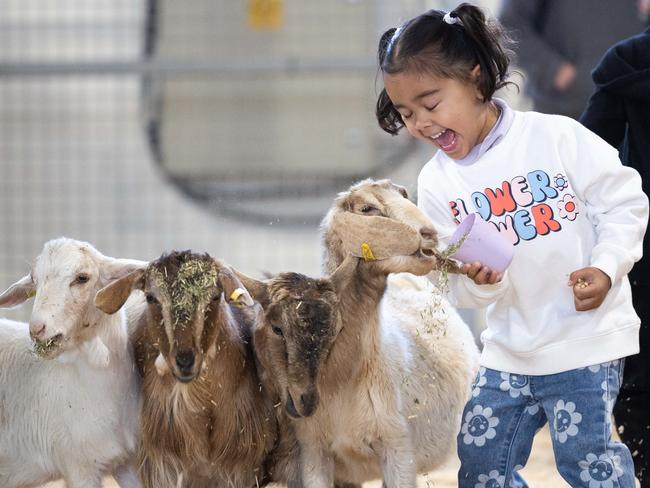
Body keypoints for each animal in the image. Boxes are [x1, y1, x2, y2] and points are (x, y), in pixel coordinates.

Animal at [242, 180, 476, 488]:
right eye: (367, 209)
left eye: (404, 195)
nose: (429, 234)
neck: (346, 378)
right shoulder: (313, 452)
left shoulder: (398, 450)